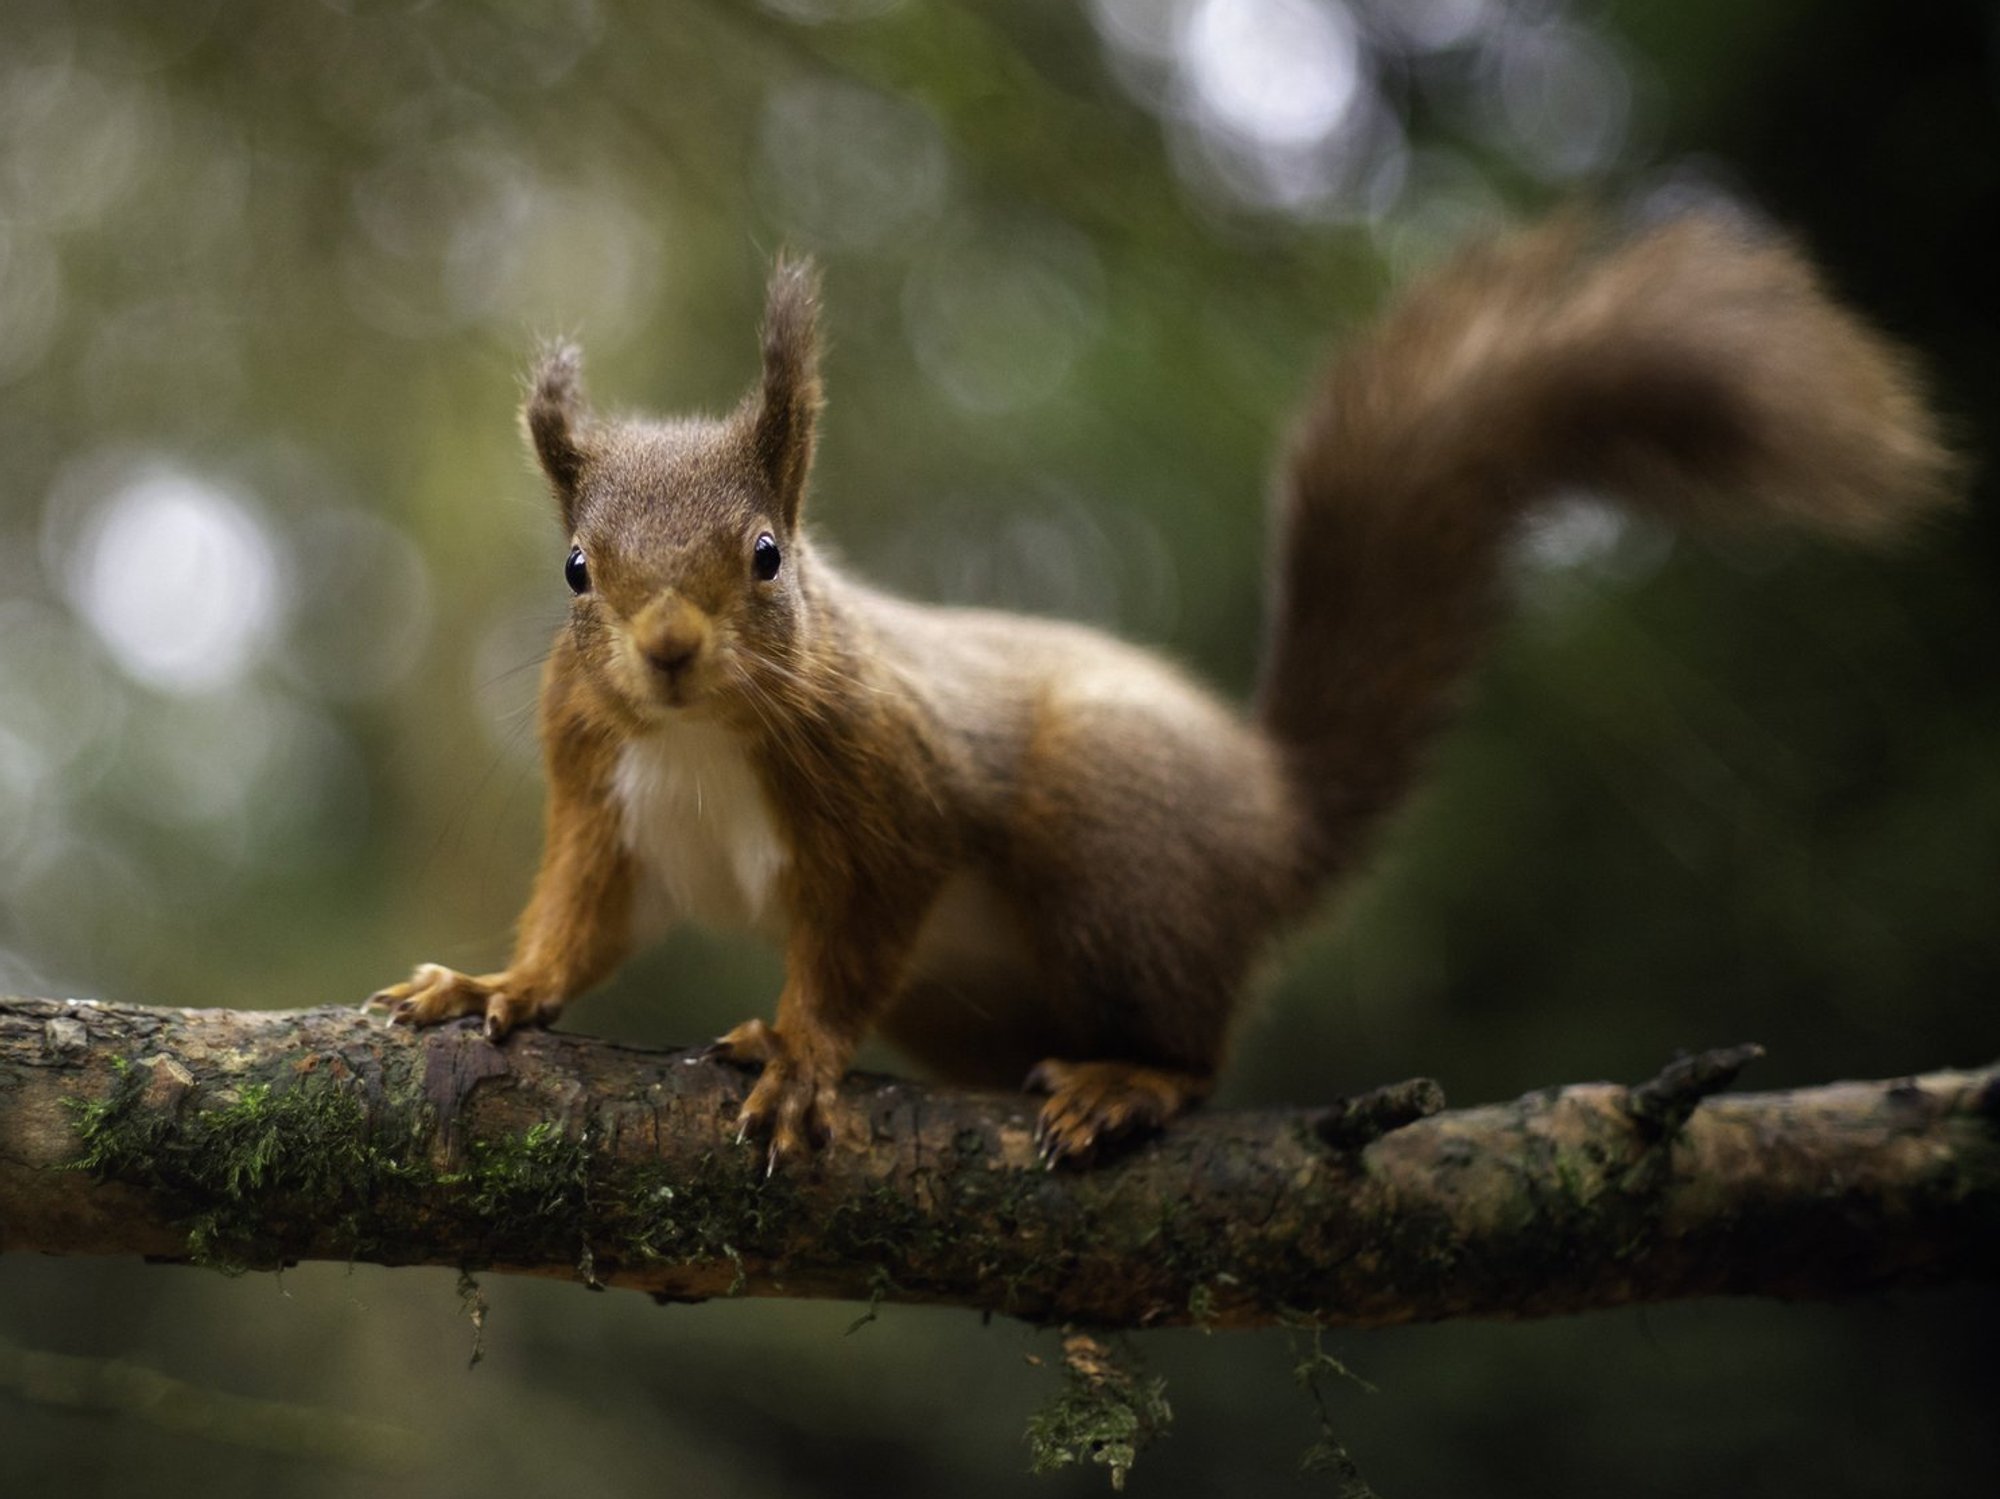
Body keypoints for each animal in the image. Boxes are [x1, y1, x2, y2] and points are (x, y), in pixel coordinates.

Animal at [366, 211, 1955, 1169]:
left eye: (767, 553)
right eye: (576, 569)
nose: (669, 649)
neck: (699, 734)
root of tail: (1274, 818)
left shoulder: (895, 788)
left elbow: (860, 926)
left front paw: (808, 1049)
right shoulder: (601, 790)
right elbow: (585, 920)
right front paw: (494, 984)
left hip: (1112, 839)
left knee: (1197, 1046)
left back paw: (1130, 1082)